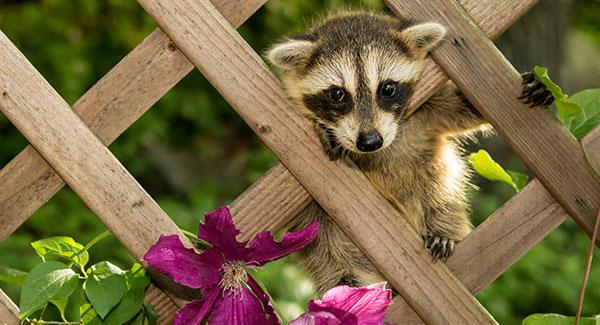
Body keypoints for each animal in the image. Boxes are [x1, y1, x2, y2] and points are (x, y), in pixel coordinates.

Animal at [268, 11, 552, 294]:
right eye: (337, 94)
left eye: (387, 88)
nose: (370, 142)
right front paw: (323, 128)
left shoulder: (427, 110)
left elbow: (461, 107)